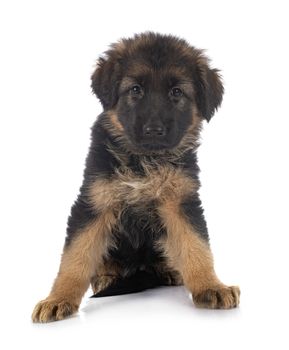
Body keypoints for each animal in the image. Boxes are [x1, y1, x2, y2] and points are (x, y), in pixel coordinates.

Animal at [32, 32, 238, 322]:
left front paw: (211, 286)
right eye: (135, 90)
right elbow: (76, 255)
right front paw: (58, 298)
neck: (143, 162)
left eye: (177, 92)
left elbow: (196, 245)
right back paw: (106, 277)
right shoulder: (94, 202)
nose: (154, 130)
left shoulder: (181, 202)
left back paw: (171, 272)